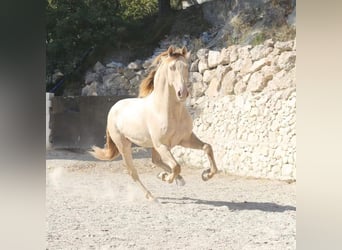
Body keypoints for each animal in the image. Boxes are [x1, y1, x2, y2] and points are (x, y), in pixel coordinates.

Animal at [89, 46, 218, 200]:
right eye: (172, 67)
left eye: (186, 67)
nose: (183, 93)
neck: (168, 111)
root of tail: (113, 109)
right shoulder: (162, 145)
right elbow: (176, 166)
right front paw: (168, 178)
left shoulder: (185, 139)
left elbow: (207, 147)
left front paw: (206, 175)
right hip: (125, 145)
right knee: (133, 172)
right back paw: (151, 196)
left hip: (152, 146)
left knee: (155, 161)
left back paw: (171, 177)